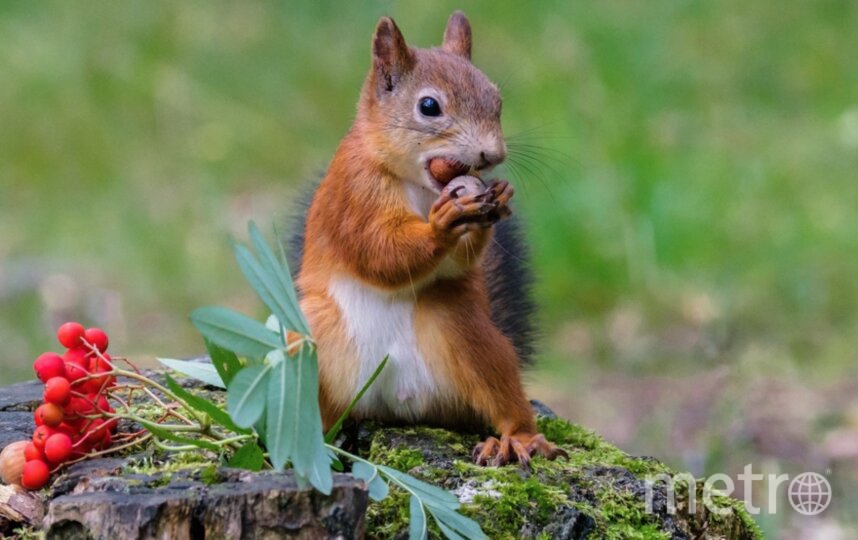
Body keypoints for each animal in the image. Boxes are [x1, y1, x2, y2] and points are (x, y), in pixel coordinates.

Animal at [290, 12, 564, 468]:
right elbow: (378, 252)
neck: (419, 186)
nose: (493, 155)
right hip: (310, 340)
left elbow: (457, 262)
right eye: (429, 107)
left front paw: (496, 198)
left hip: (467, 332)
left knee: (498, 397)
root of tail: (393, 406)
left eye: (497, 100)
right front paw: (441, 225)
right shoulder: (352, 197)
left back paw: (516, 438)